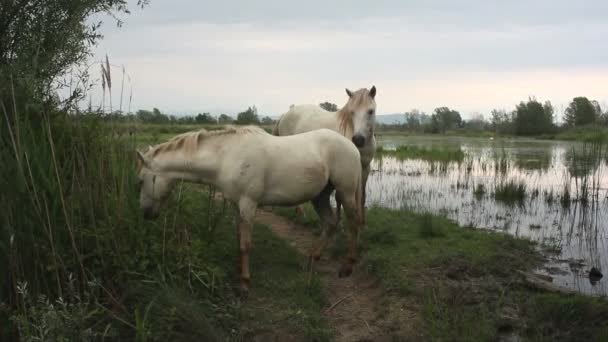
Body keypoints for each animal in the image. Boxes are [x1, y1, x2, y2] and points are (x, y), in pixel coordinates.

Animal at [136, 125, 364, 294]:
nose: (146, 213)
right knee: (330, 223)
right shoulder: (237, 205)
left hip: (345, 192)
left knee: (353, 223)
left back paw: (348, 267)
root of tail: (351, 145)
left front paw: (245, 283)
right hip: (320, 196)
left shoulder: (248, 204)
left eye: (140, 180)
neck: (226, 157)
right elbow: (239, 238)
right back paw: (312, 259)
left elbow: (245, 244)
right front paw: (239, 271)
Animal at [274, 85, 378, 226]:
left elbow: (362, 197)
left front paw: (363, 223)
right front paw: (339, 221)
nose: (358, 139)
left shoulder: (365, 168)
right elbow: (339, 198)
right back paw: (300, 212)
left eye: (370, 111)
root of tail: (285, 115)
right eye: (351, 112)